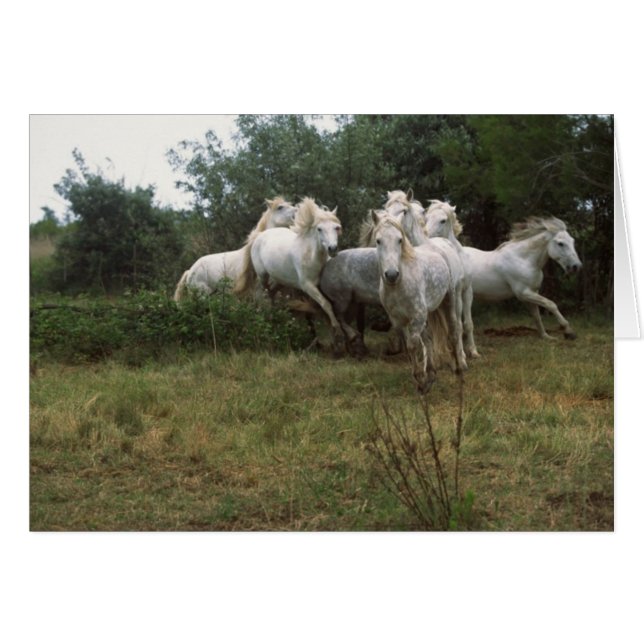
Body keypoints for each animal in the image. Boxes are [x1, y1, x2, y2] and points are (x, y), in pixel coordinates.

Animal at [234, 197, 346, 352]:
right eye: (319, 229)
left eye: (337, 227)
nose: (332, 249)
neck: (311, 255)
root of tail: (260, 236)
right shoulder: (307, 286)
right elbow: (325, 305)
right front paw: (337, 331)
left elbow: (322, 309)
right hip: (263, 278)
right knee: (263, 295)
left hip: (278, 281)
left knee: (271, 295)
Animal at [374, 214, 465, 393]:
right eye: (378, 241)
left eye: (400, 240)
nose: (392, 275)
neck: (399, 285)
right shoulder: (398, 321)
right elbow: (412, 347)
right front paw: (422, 381)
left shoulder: (417, 317)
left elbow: (412, 345)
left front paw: (420, 379)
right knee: (429, 340)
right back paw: (431, 375)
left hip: (449, 301)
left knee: (453, 332)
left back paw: (459, 369)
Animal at [424, 200, 480, 359]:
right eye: (426, 218)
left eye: (443, 220)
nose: (427, 236)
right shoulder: (456, 294)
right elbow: (458, 325)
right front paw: (462, 354)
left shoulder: (467, 292)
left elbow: (468, 323)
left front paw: (473, 351)